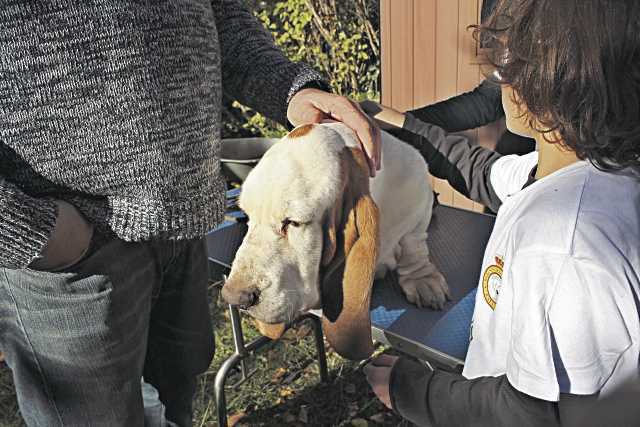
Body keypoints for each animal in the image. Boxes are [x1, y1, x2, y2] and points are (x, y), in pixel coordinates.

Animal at [222, 123, 448, 362]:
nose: (234, 298)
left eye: (293, 223)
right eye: (248, 217)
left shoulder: (418, 208)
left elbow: (413, 246)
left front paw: (422, 279)